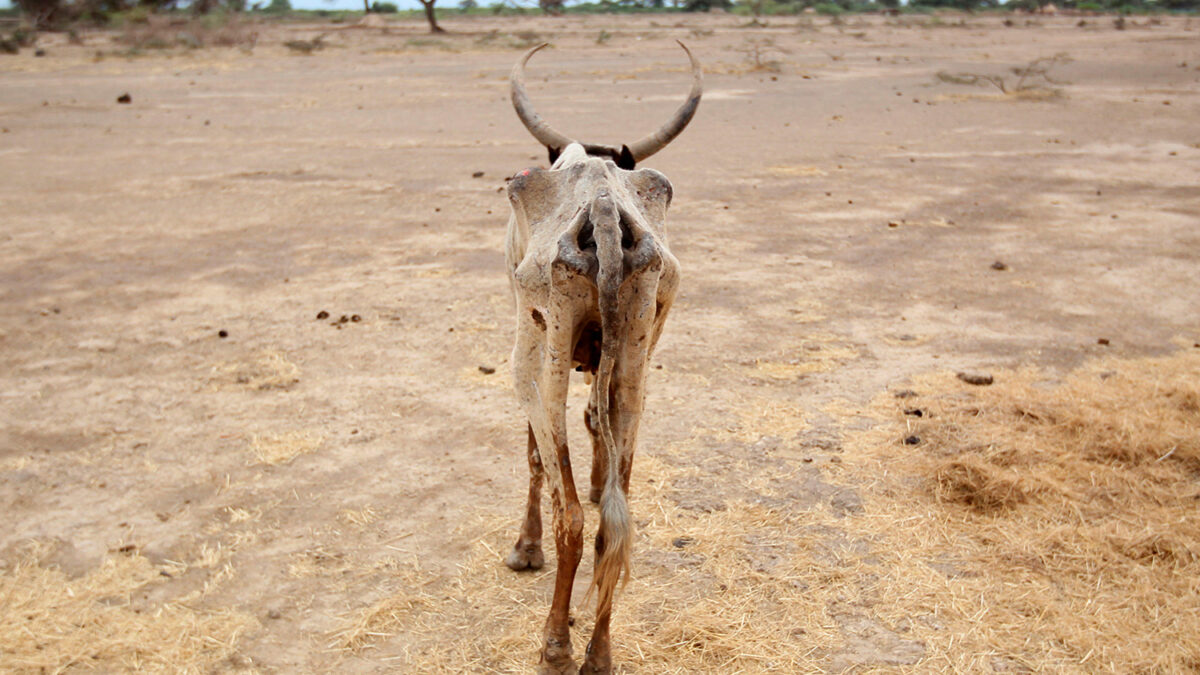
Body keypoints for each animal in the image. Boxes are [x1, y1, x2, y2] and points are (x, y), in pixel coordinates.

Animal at [499, 43, 700, 672]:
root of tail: (606, 208)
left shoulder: (532, 343)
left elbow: (535, 455)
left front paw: (525, 548)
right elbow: (597, 422)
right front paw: (594, 478)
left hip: (541, 355)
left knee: (570, 514)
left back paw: (556, 646)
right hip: (638, 351)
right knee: (617, 519)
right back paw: (600, 653)